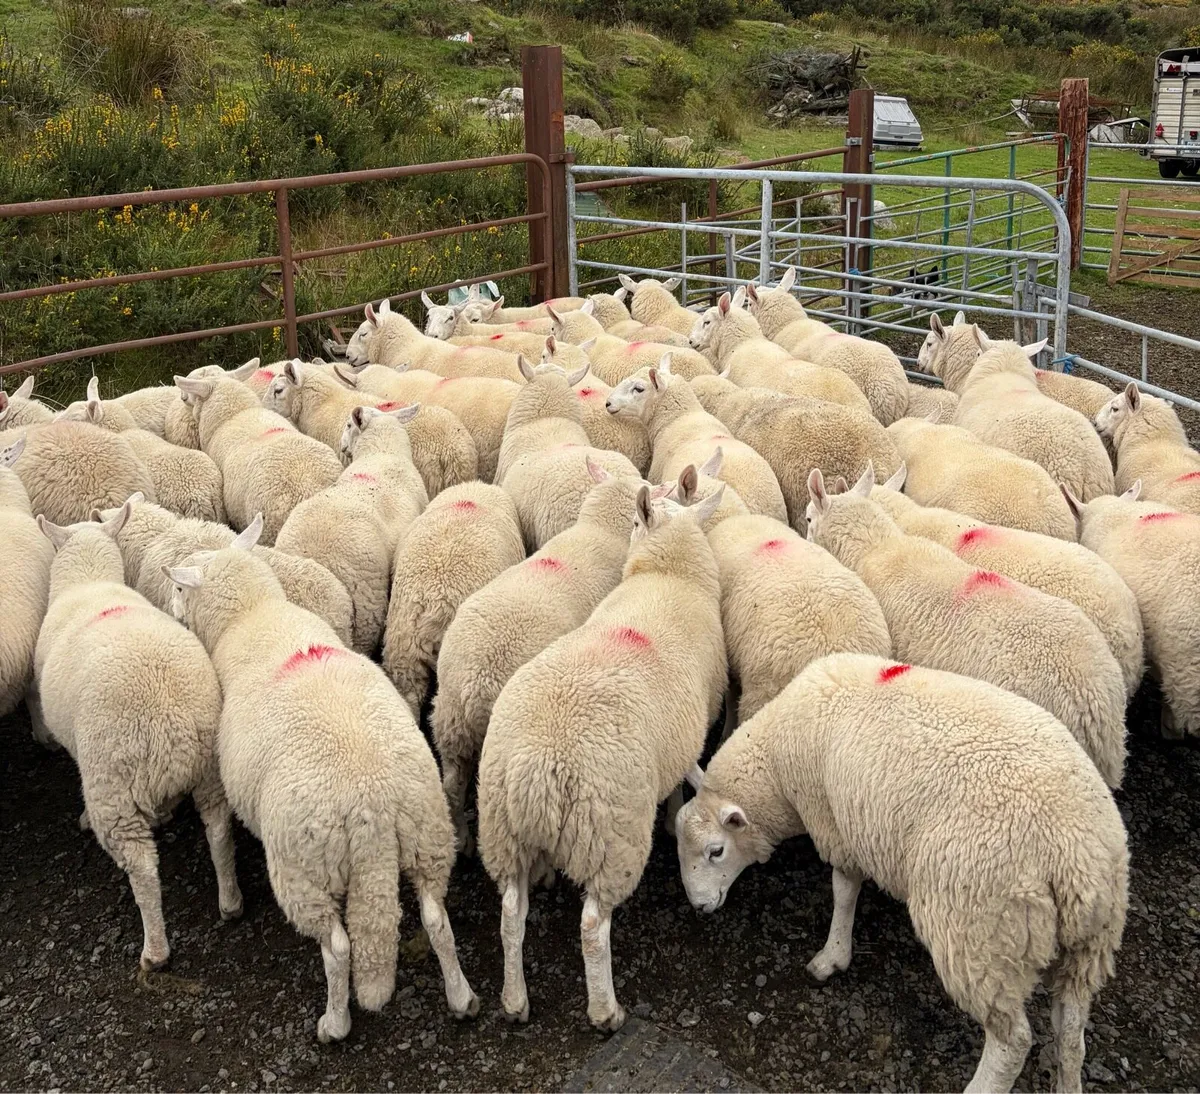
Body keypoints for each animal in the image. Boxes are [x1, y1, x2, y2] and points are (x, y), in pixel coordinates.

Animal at [35, 504, 241, 971]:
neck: (91, 581)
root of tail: (171, 725)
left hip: (113, 788)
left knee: (144, 870)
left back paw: (155, 952)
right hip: (209, 770)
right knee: (219, 831)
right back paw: (230, 902)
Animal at [164, 518, 478, 1041]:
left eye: (181, 588)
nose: (171, 610)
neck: (255, 618)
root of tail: (372, 806)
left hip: (304, 868)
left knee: (338, 947)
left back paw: (335, 1023)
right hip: (428, 834)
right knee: (436, 920)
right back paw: (462, 998)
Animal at [477, 481, 728, 1030]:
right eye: (634, 522)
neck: (667, 576)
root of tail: (539, 765)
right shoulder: (690, 733)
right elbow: (682, 780)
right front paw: (676, 811)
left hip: (503, 830)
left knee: (510, 916)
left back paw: (515, 1001)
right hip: (612, 835)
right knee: (593, 926)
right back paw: (605, 1010)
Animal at [676, 652, 1128, 1094]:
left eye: (716, 851)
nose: (698, 906)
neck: (776, 770)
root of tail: (1076, 858)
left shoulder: (838, 825)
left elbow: (844, 890)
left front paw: (832, 957)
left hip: (981, 934)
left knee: (1012, 1042)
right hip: (1089, 946)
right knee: (1071, 1032)